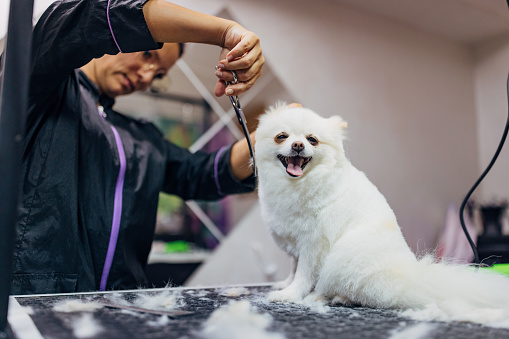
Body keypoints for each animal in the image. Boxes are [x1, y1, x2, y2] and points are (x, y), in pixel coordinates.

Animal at [256, 103, 508, 326]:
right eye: (281, 136)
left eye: (312, 140)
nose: (298, 145)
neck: (298, 184)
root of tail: (408, 277)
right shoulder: (295, 240)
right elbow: (294, 267)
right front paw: (285, 284)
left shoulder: (314, 244)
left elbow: (304, 273)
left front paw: (290, 294)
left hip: (345, 253)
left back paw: (331, 296)